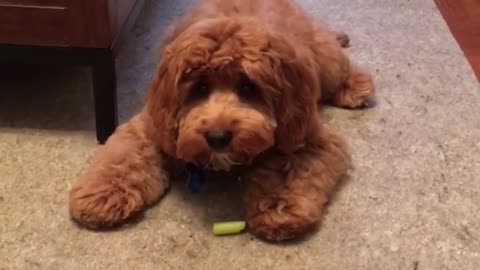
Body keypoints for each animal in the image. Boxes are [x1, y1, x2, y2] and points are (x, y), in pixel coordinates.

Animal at [68, 0, 376, 240]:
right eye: (200, 88)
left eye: (248, 88)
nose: (218, 137)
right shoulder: (153, 125)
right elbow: (125, 158)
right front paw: (103, 193)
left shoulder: (307, 136)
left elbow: (289, 170)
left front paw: (278, 207)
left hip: (324, 61)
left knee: (340, 66)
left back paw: (356, 86)